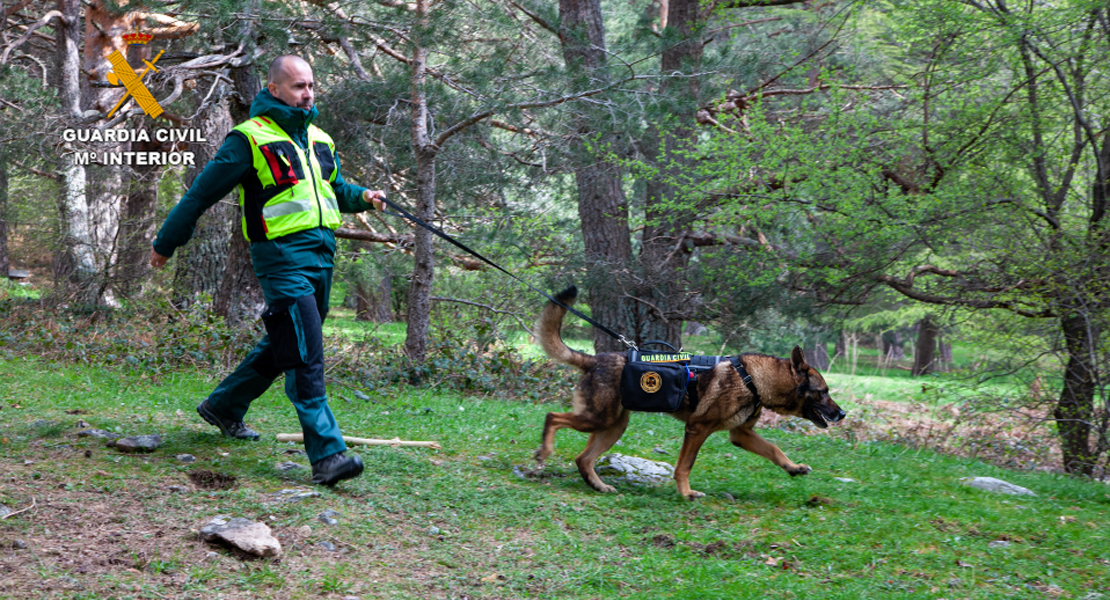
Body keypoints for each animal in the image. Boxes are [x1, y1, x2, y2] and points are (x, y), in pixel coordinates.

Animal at [532, 283, 843, 496]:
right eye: (823, 391)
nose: (842, 414)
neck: (752, 378)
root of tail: (594, 360)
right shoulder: (697, 429)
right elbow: (685, 465)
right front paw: (686, 493)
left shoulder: (741, 435)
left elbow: (775, 450)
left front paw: (794, 468)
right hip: (598, 419)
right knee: (552, 417)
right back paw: (544, 452)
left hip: (612, 426)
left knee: (583, 459)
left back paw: (598, 485)